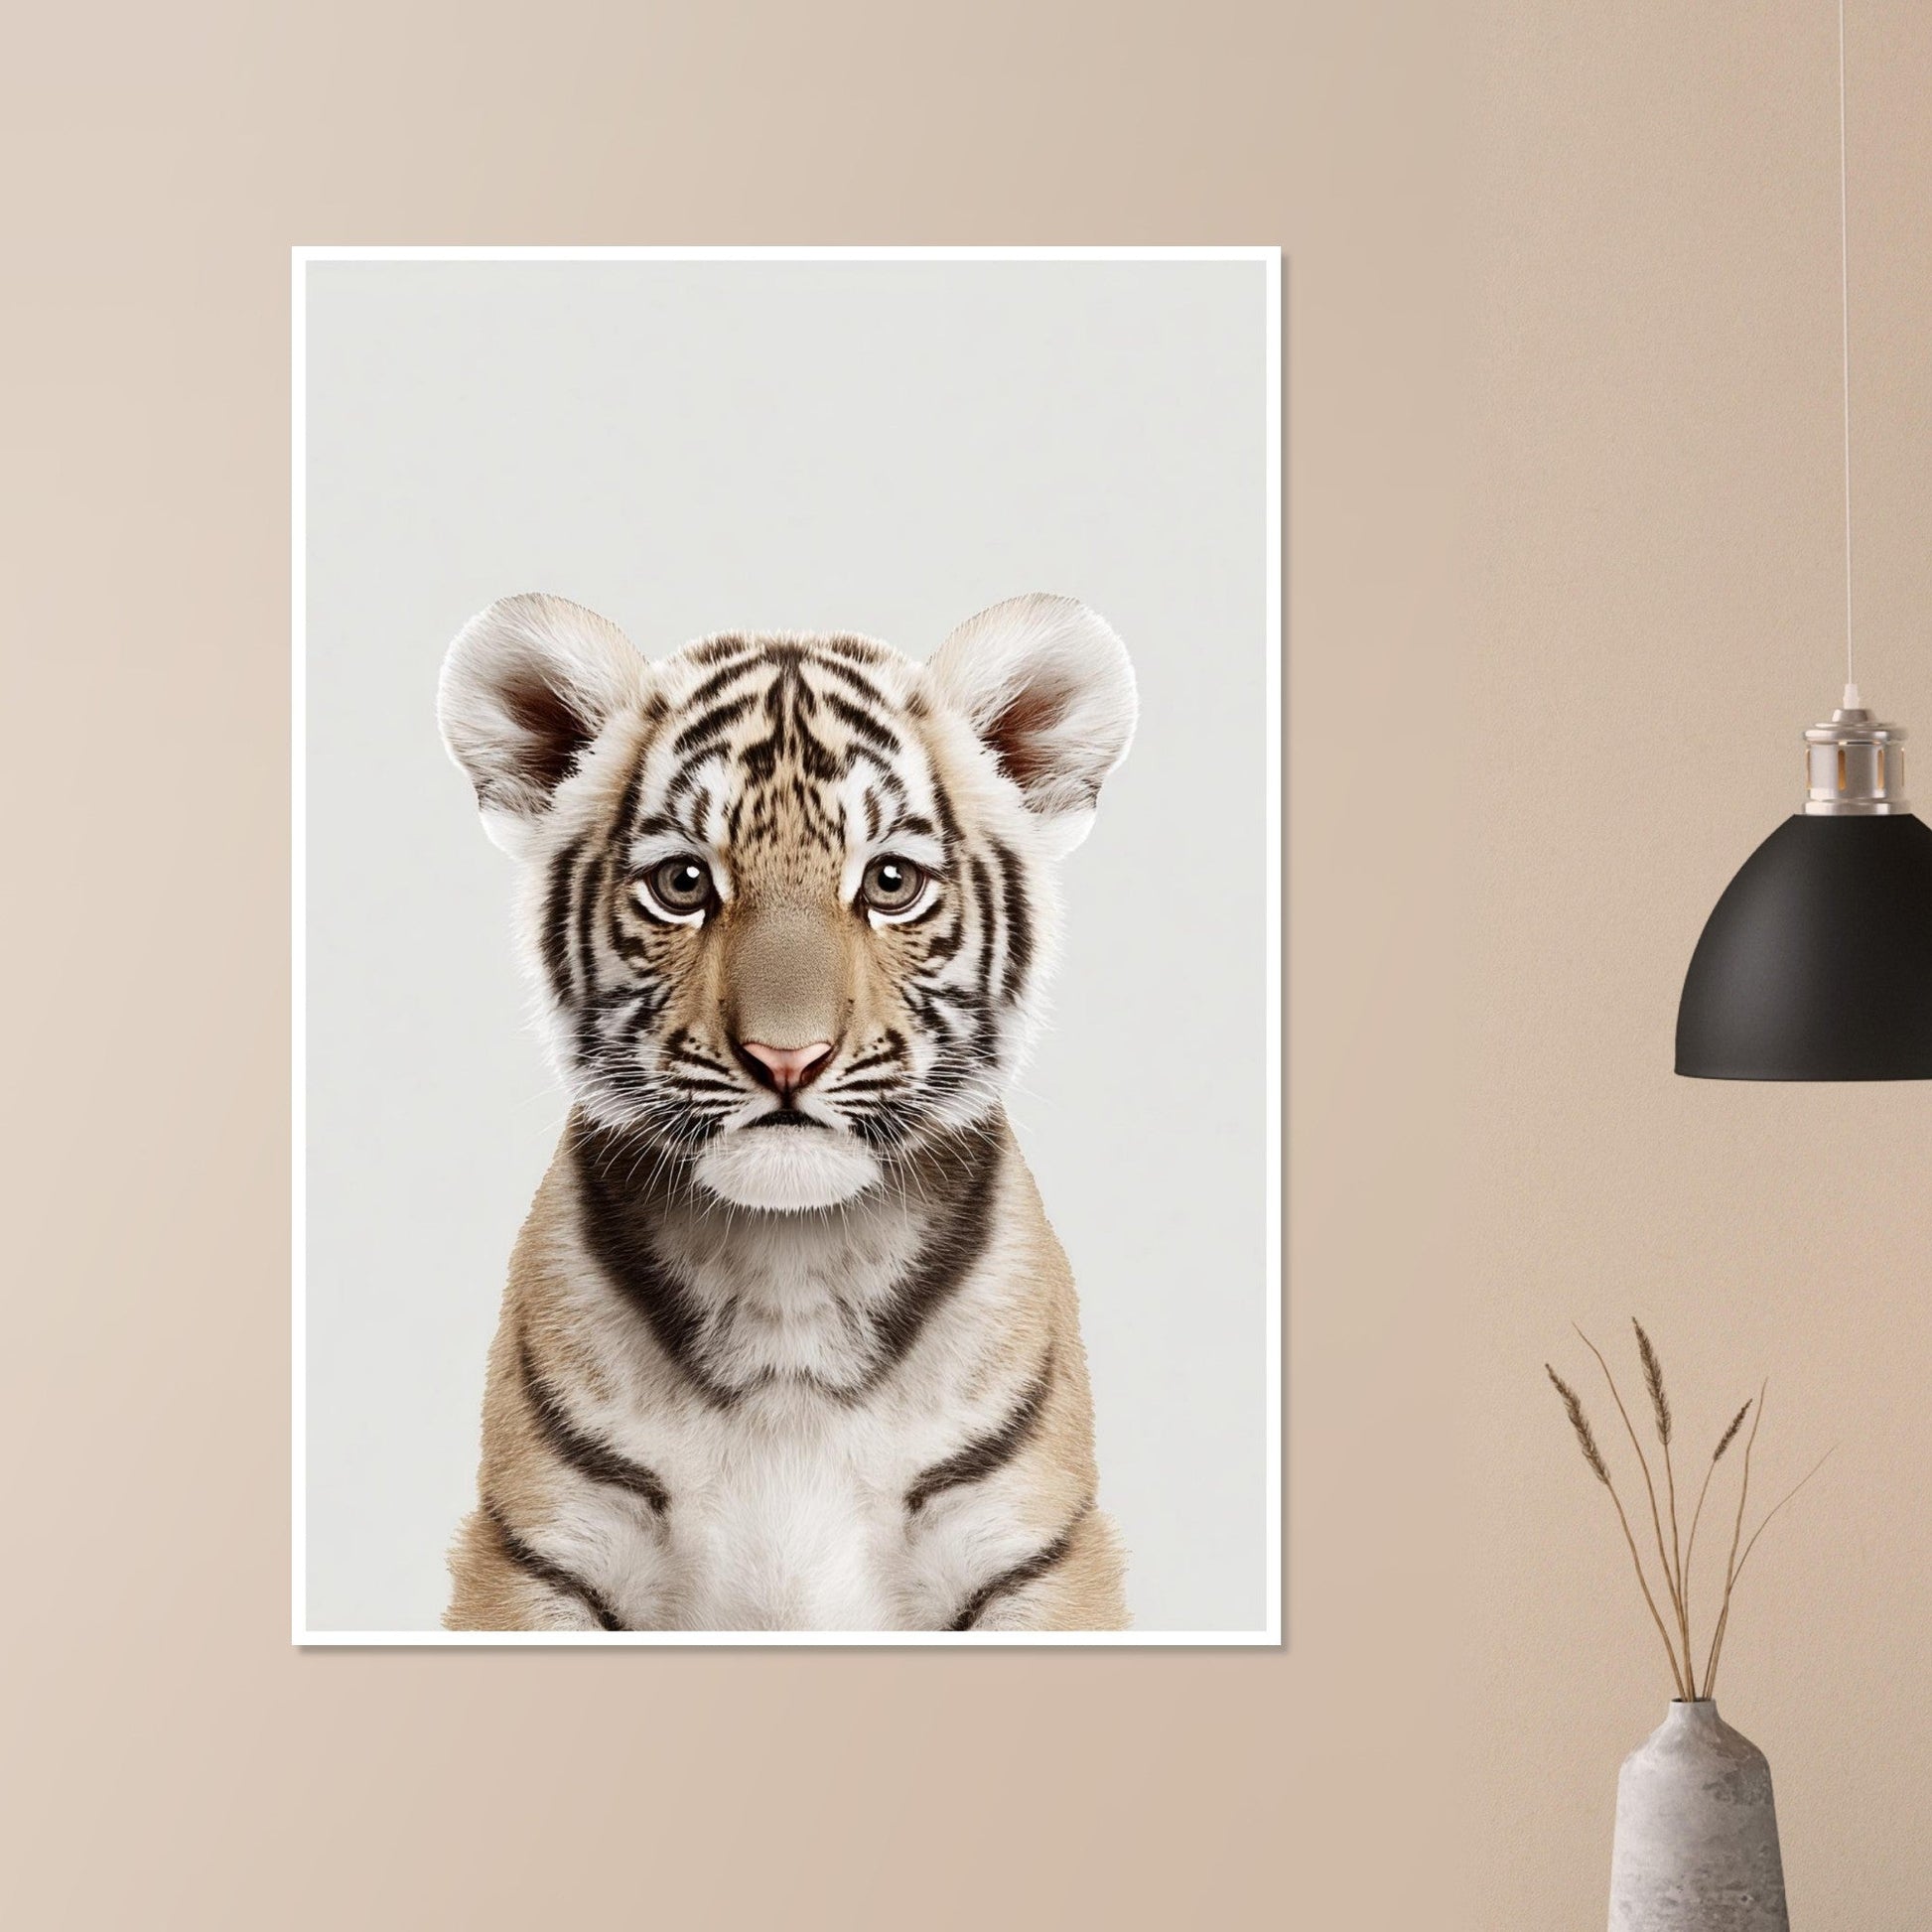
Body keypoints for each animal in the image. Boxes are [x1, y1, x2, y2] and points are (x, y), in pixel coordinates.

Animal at [435, 589, 1137, 1632]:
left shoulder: (1034, 1551)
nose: (786, 1058)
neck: (788, 1274)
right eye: (683, 883)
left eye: (891, 882)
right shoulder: (537, 1551)